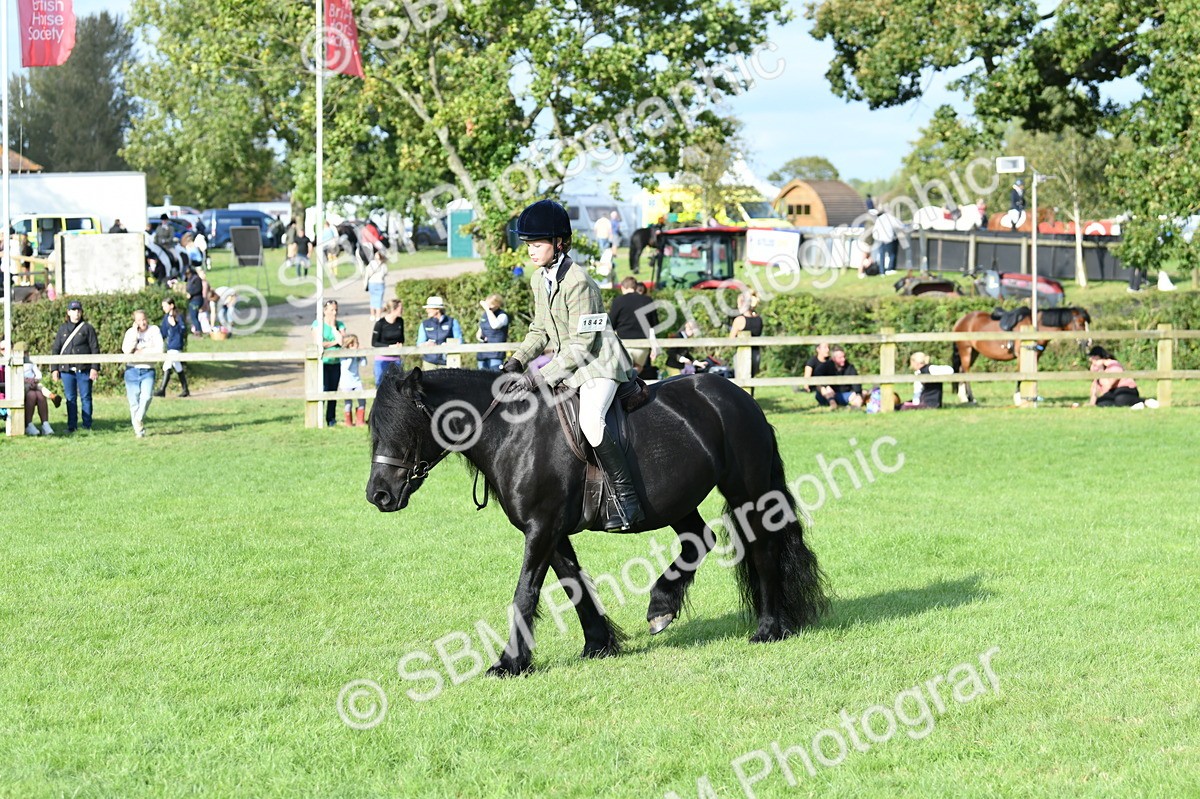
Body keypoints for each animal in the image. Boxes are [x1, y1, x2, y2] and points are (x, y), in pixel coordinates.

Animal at [366, 368, 828, 677]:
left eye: (405, 427)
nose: (378, 496)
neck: (512, 433)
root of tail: (740, 398)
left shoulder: (542, 529)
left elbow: (525, 592)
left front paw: (510, 662)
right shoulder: (551, 532)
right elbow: (573, 584)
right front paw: (599, 644)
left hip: (746, 491)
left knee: (762, 549)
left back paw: (768, 628)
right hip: (678, 502)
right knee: (699, 540)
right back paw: (662, 605)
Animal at [951, 306, 1091, 403]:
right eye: (1080, 322)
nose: (1089, 341)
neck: (1035, 327)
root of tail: (961, 320)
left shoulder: (1036, 356)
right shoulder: (1021, 356)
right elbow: (1020, 375)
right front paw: (1018, 398)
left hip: (973, 352)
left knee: (962, 370)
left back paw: (963, 397)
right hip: (966, 350)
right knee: (966, 371)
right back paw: (971, 398)